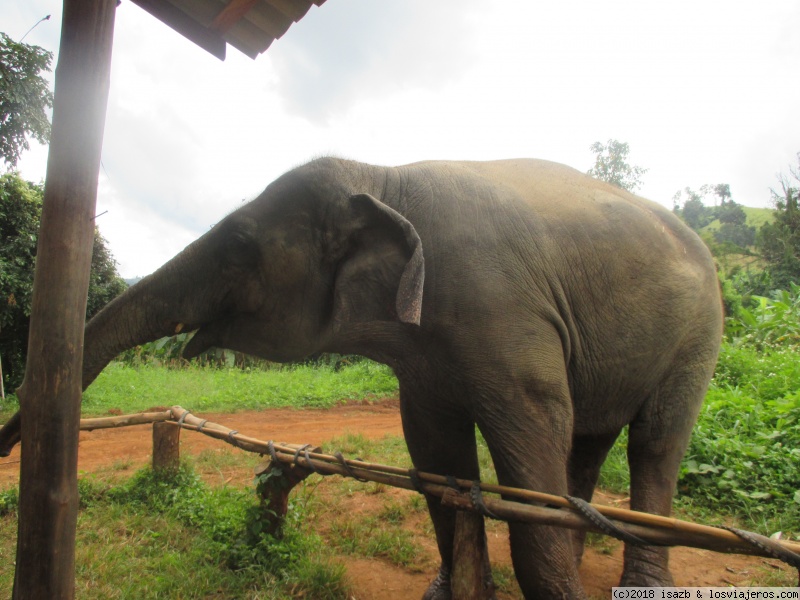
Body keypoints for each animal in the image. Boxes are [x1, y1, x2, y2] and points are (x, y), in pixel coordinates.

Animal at [0, 157, 720, 596]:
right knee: (589, 442)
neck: (383, 177)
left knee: (653, 444)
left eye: (238, 244)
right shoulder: (428, 358)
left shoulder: (506, 319)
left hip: (701, 331)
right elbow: (438, 465)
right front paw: (449, 589)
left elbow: (532, 440)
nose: (13, 438)